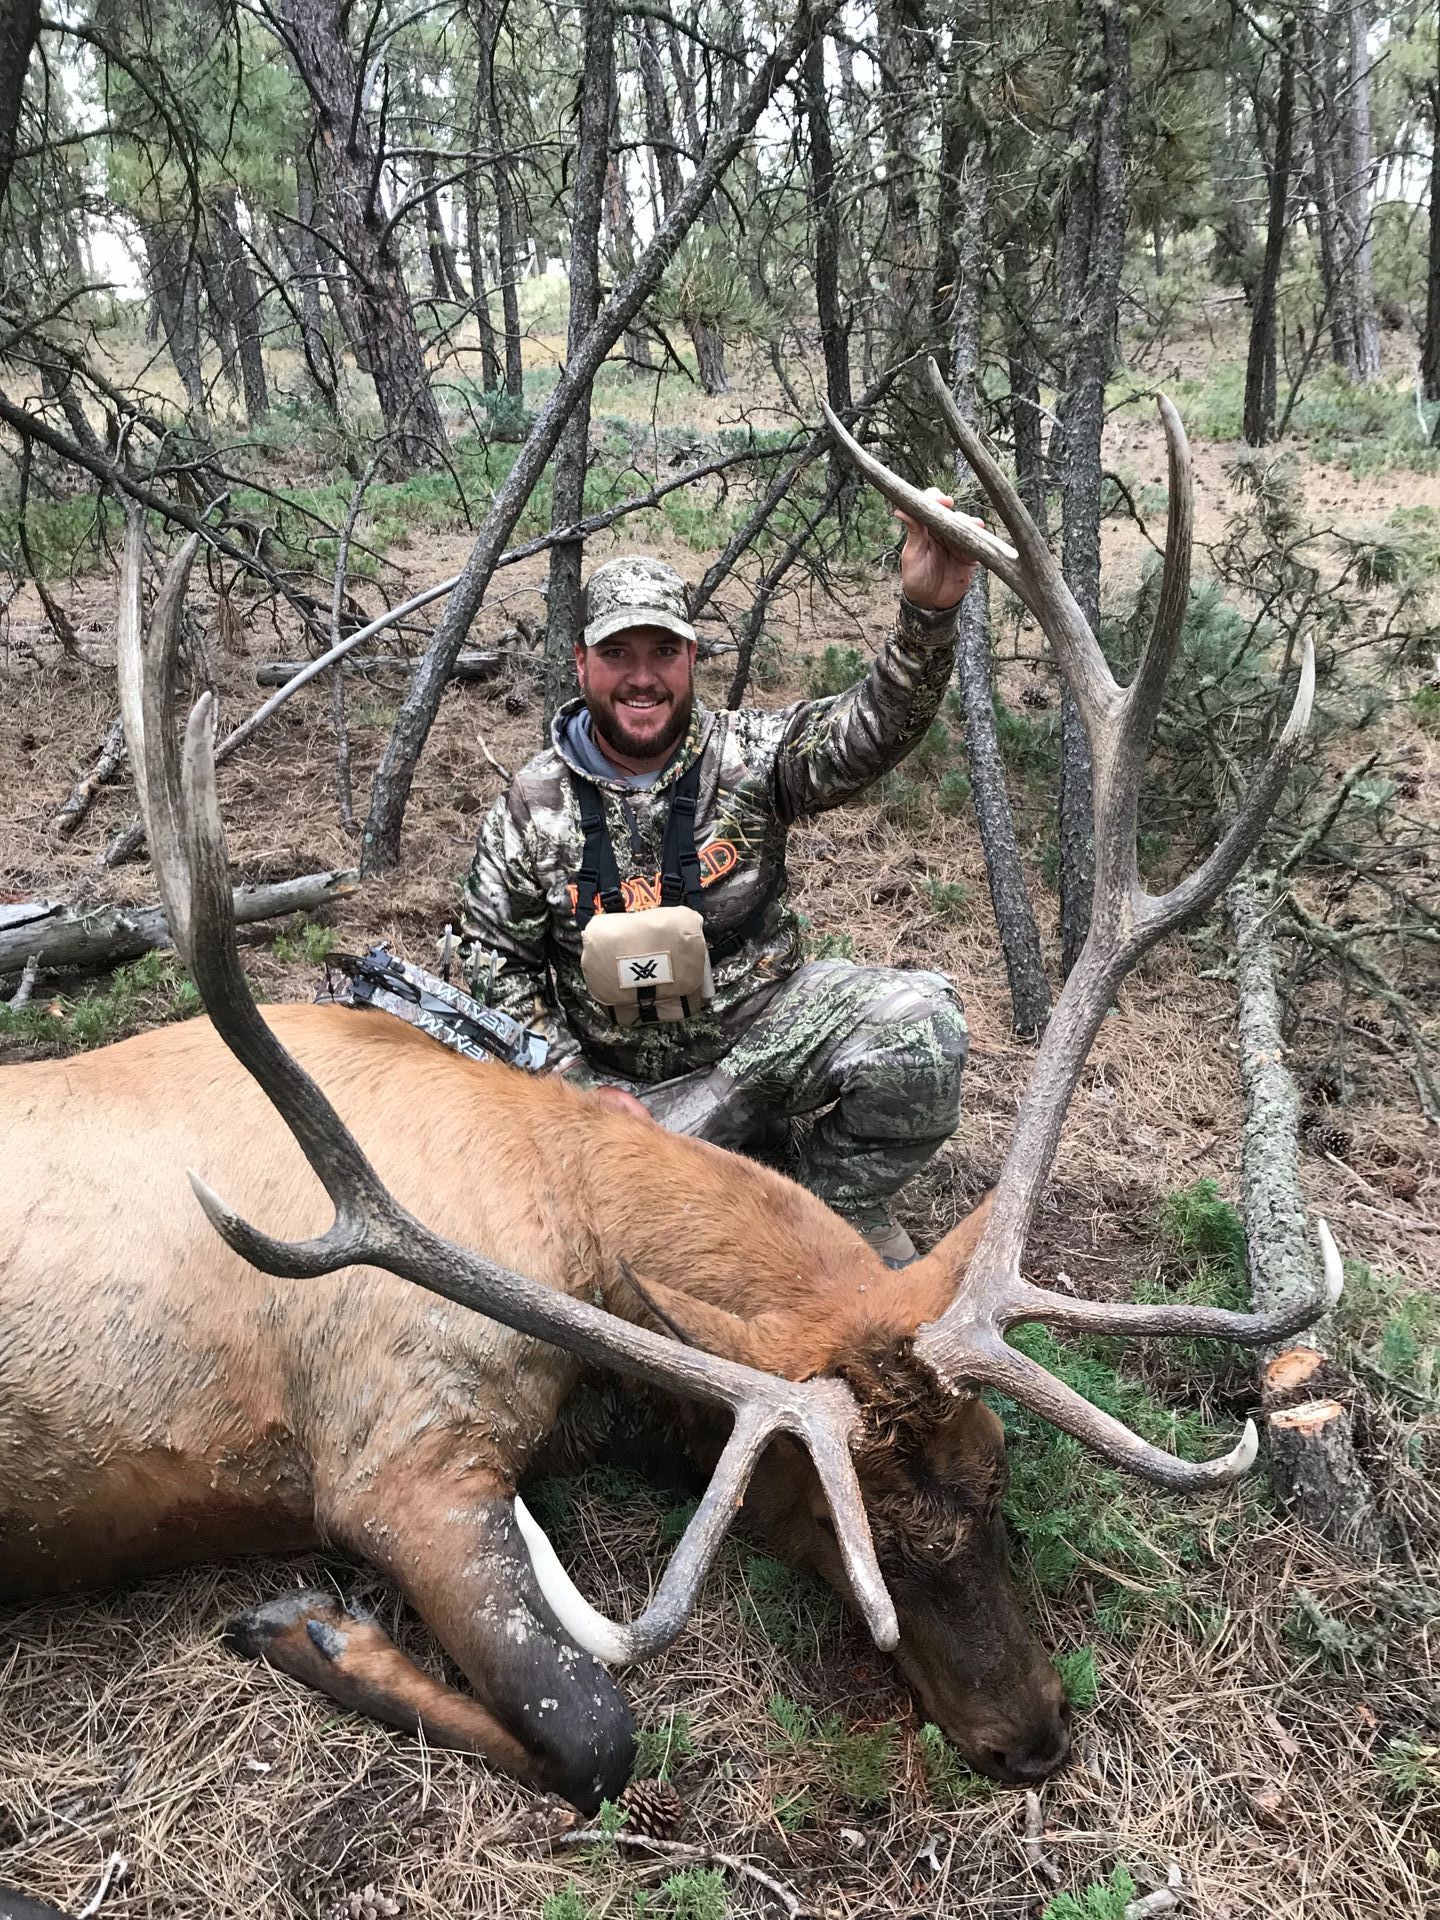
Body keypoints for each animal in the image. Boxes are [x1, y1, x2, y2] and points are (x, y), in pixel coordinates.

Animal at [0, 368, 1339, 1815]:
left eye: (998, 1478)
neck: (556, 1226)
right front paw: (308, 1627)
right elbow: (593, 1728)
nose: (1032, 1737)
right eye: (847, 1530)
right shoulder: (390, 1447)